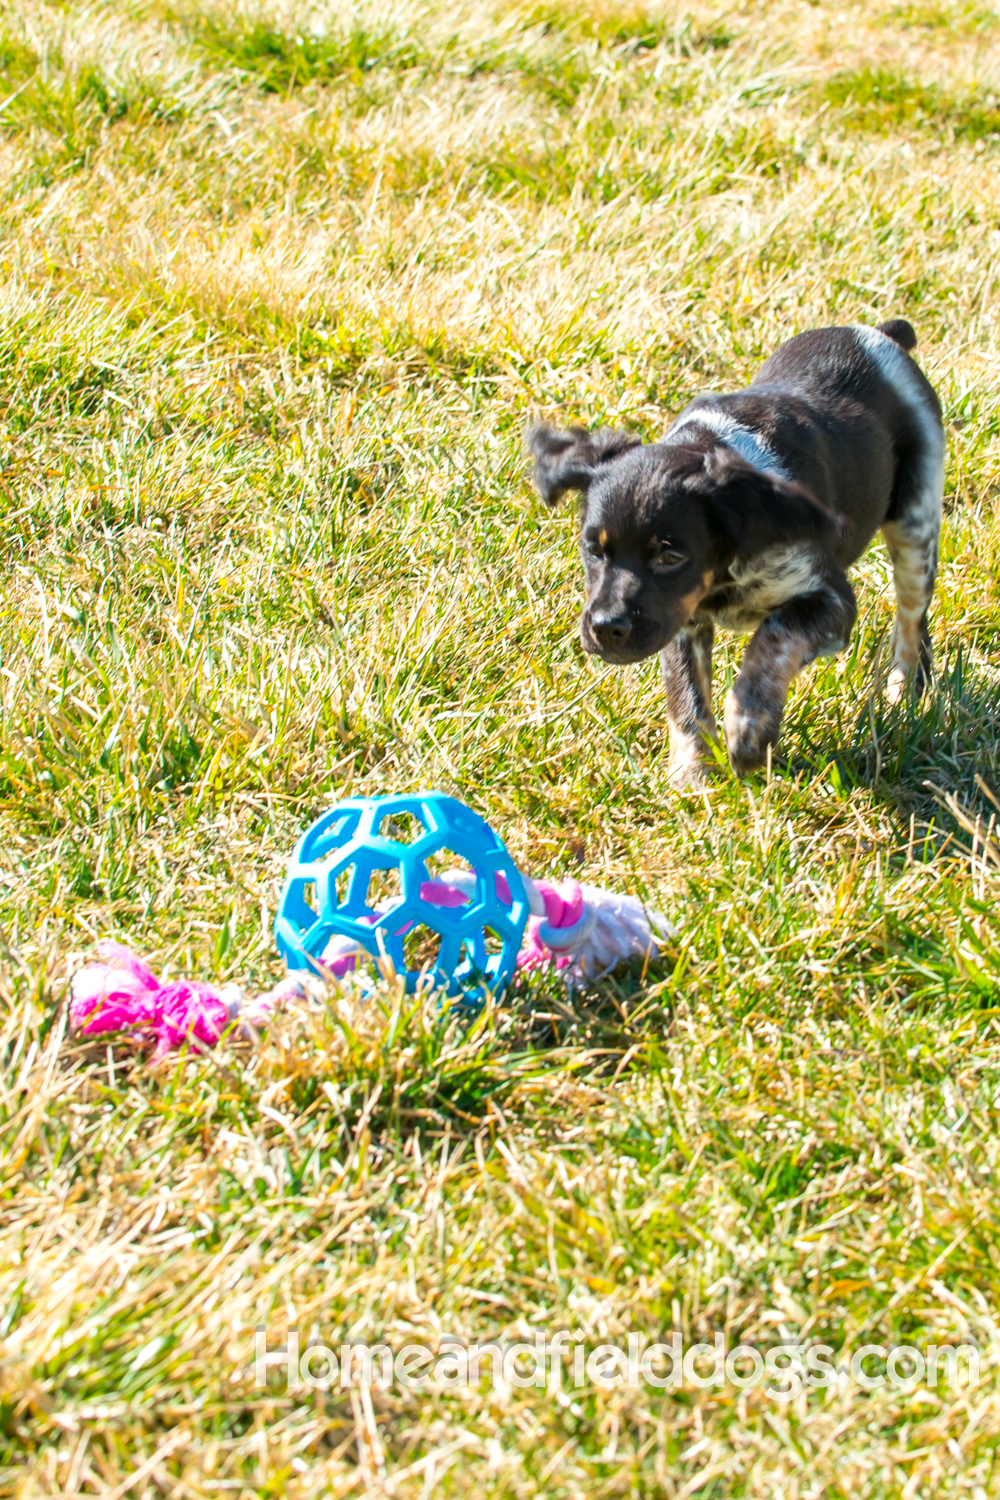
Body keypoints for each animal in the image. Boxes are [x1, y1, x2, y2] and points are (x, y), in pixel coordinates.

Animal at [527, 316, 941, 786]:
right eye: (593, 550)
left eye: (670, 557)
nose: (606, 629)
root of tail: (877, 332)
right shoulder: (680, 620)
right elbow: (687, 696)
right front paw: (693, 775)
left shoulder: (831, 600)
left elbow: (774, 637)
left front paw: (748, 729)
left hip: (915, 523)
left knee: (910, 623)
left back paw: (901, 694)